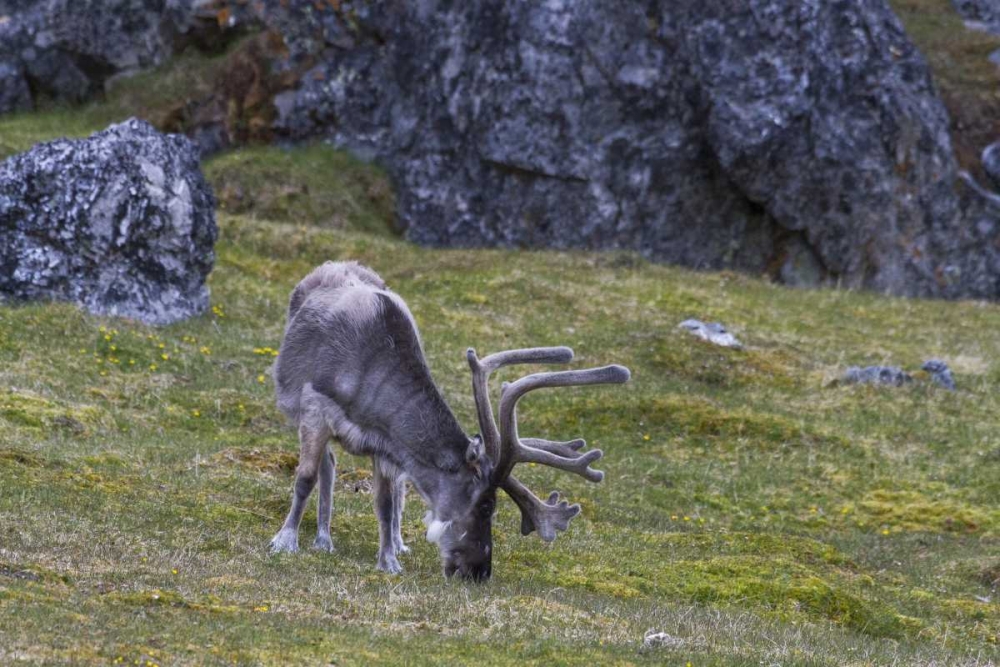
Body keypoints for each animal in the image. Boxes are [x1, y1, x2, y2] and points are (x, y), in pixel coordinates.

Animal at [269, 261, 630, 580]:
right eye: (486, 506)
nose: (480, 572)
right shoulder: (315, 405)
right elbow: (305, 479)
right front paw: (284, 541)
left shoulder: (386, 447)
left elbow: (386, 503)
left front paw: (389, 561)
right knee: (327, 465)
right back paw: (323, 538)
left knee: (389, 488)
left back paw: (393, 543)